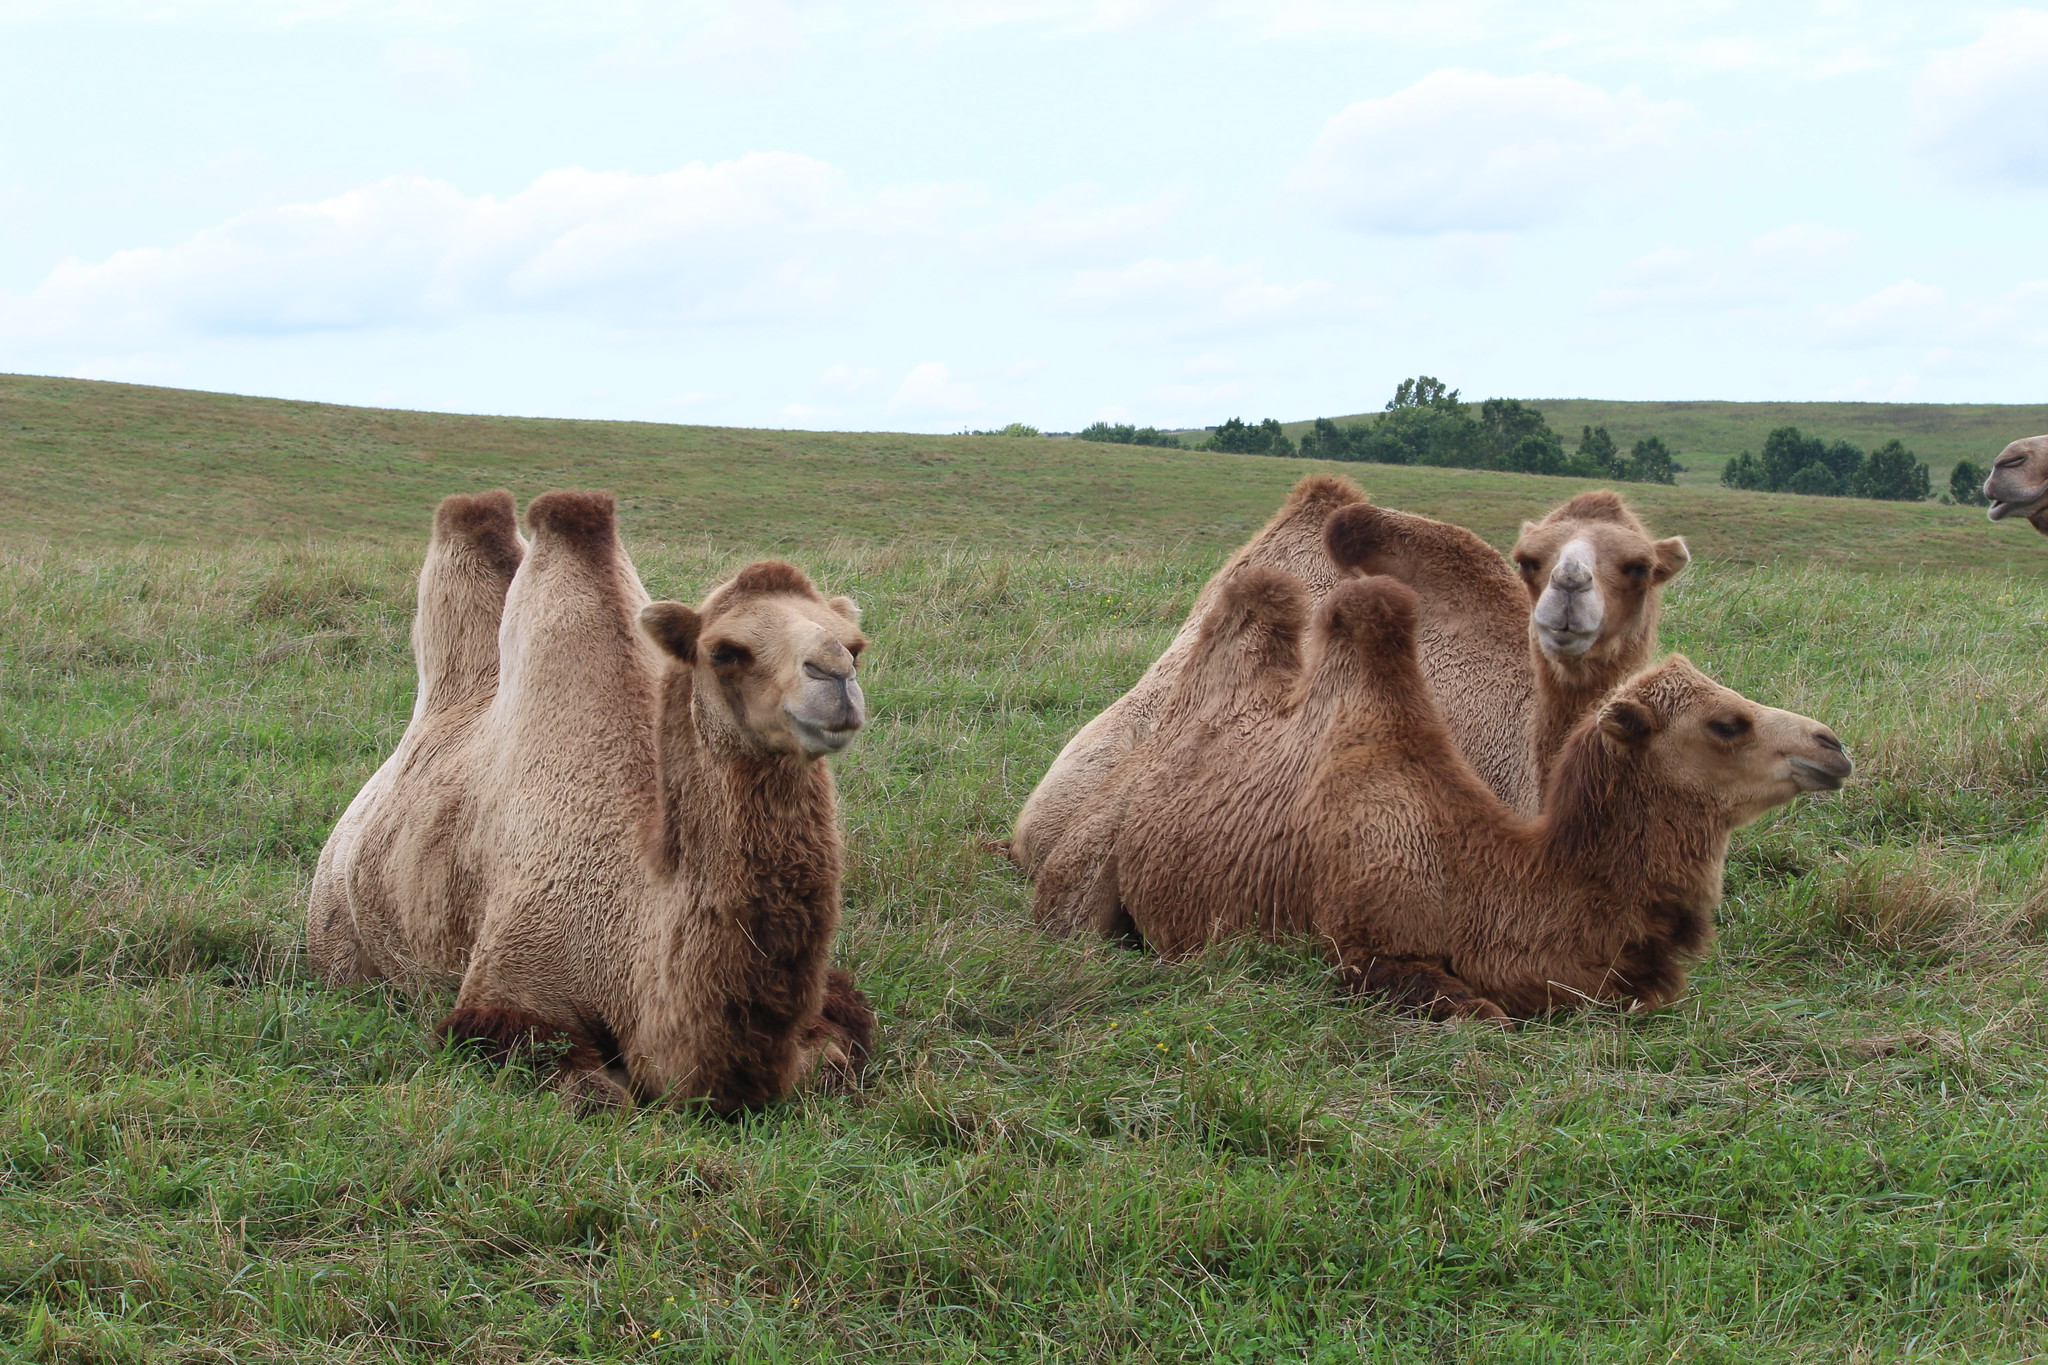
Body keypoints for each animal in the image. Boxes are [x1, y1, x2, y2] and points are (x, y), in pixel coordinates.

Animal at [309, 491, 872, 1113]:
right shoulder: (505, 995)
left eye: (855, 647)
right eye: (725, 652)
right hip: (334, 932)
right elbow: (600, 1096)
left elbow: (835, 1058)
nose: (835, 676)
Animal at [1032, 560, 1851, 1019]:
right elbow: (1482, 1013)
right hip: (1084, 865)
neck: (1478, 884)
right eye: (1726, 723)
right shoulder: (1359, 947)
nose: (1832, 746)